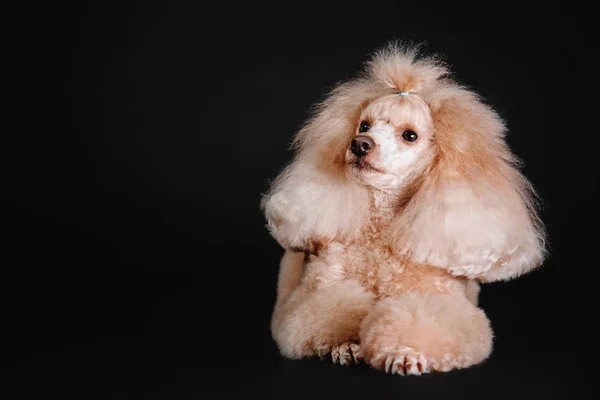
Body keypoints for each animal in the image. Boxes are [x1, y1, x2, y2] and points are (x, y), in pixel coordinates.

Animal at [260, 42, 548, 374]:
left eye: (410, 135)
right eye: (364, 125)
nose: (360, 144)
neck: (382, 226)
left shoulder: (439, 300)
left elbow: (421, 318)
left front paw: (404, 351)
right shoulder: (319, 289)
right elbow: (329, 311)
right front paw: (345, 345)